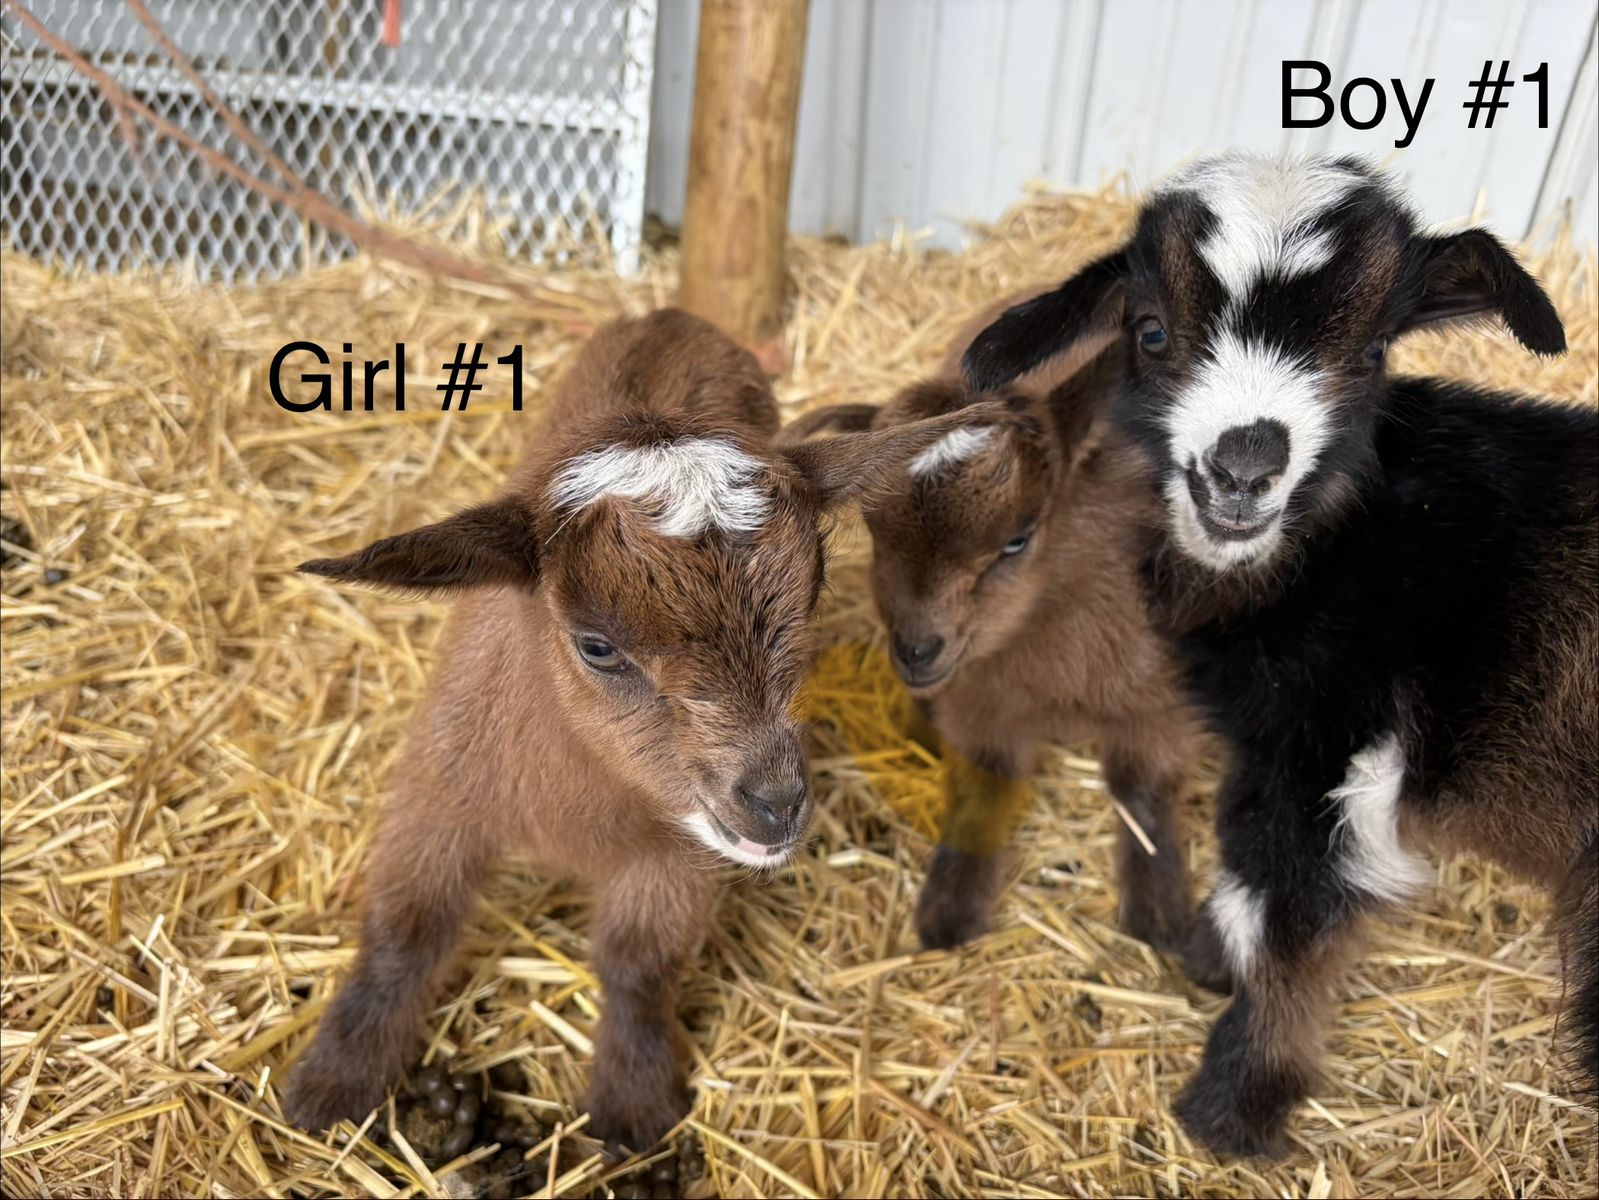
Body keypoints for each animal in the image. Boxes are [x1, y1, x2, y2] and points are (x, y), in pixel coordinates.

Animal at [284, 308, 998, 1151]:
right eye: (596, 645)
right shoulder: (443, 789)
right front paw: (333, 1082)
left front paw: (633, 1105)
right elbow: (406, 931)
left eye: (814, 586)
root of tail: (668, 315)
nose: (776, 804)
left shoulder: (673, 852)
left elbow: (637, 966)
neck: (573, 800)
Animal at [777, 304, 1206, 954]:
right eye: (876, 537)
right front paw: (948, 911)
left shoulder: (1162, 702)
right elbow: (982, 791)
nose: (916, 650)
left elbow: (1144, 796)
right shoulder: (977, 704)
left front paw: (1161, 918)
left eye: (1017, 541)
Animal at [964, 151, 1597, 1158]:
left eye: (1371, 353)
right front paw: (1203, 964)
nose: (1243, 467)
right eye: (1149, 330)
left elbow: (1282, 920)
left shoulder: (1328, 758)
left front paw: (1231, 1112)